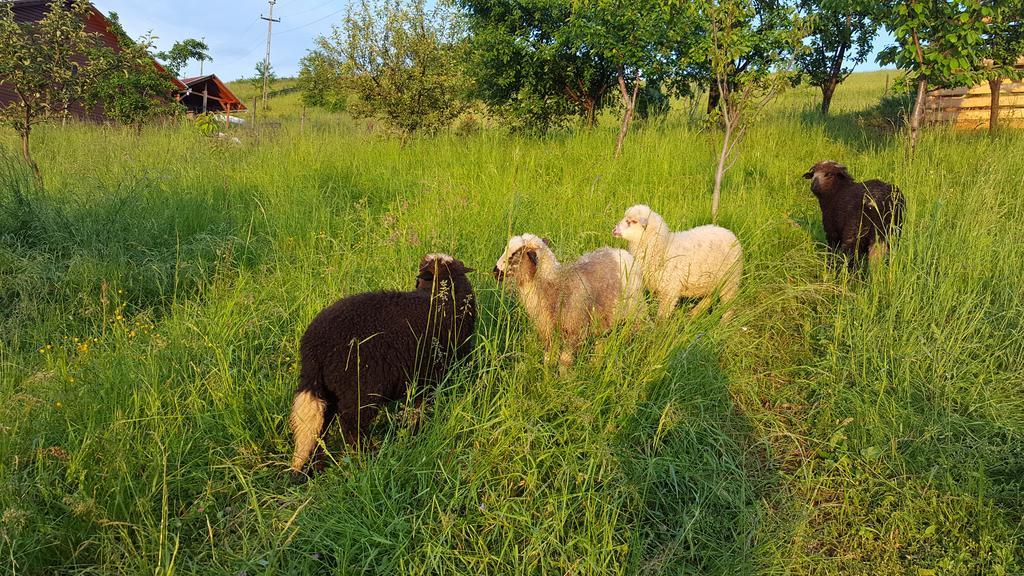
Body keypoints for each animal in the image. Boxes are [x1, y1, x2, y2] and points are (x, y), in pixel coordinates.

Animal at [286, 253, 473, 473]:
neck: (441, 295)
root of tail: (313, 350)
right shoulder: (430, 375)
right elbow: (421, 408)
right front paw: (417, 431)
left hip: (327, 390)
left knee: (320, 428)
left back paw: (318, 466)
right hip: (361, 388)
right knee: (351, 425)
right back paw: (369, 456)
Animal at [489, 234, 638, 364]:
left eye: (515, 254)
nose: (495, 271)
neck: (557, 286)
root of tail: (621, 251)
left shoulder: (574, 331)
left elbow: (564, 361)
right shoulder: (547, 330)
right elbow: (548, 358)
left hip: (633, 312)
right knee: (601, 340)